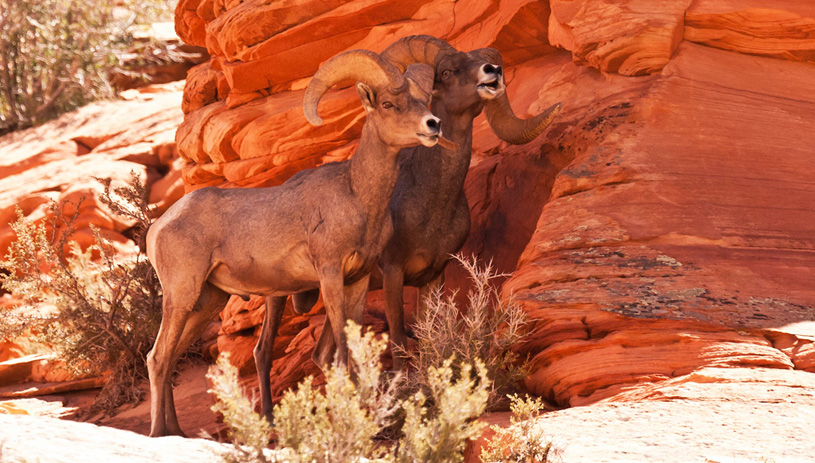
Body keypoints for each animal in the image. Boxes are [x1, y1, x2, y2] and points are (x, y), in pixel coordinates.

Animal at [143, 50, 444, 438]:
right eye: (389, 104)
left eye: (423, 100)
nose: (433, 125)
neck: (358, 196)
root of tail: (158, 227)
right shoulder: (330, 275)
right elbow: (341, 354)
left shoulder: (358, 281)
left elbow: (354, 351)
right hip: (182, 295)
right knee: (158, 358)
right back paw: (158, 434)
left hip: (208, 301)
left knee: (170, 358)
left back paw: (176, 433)